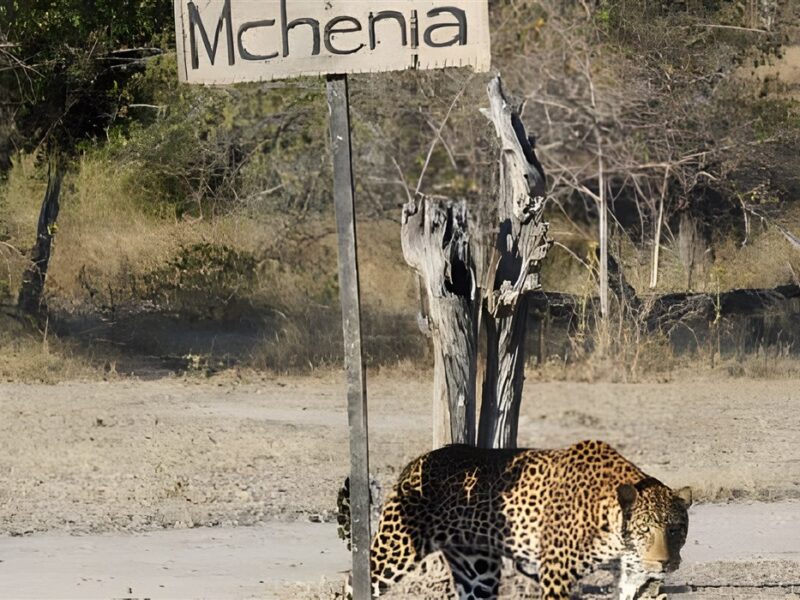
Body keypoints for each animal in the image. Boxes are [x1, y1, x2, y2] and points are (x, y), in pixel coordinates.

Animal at [337, 440, 692, 600]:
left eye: (675, 530)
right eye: (645, 529)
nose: (665, 563)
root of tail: (415, 463)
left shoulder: (638, 580)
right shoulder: (556, 573)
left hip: (477, 572)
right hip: (395, 550)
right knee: (354, 582)